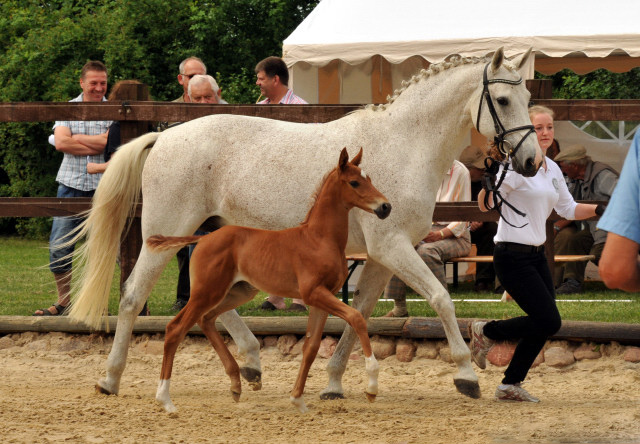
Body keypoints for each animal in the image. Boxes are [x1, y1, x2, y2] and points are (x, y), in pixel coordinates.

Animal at [148, 148, 390, 412]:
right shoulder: (313, 293)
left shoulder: (321, 299)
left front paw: (297, 399)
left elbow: (311, 347)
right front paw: (372, 387)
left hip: (238, 292)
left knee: (206, 319)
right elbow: (356, 318)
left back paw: (236, 383)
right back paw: (165, 399)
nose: (385, 207)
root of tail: (202, 238)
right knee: (175, 329)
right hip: (207, 292)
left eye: (370, 179)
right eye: (354, 182)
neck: (319, 239)